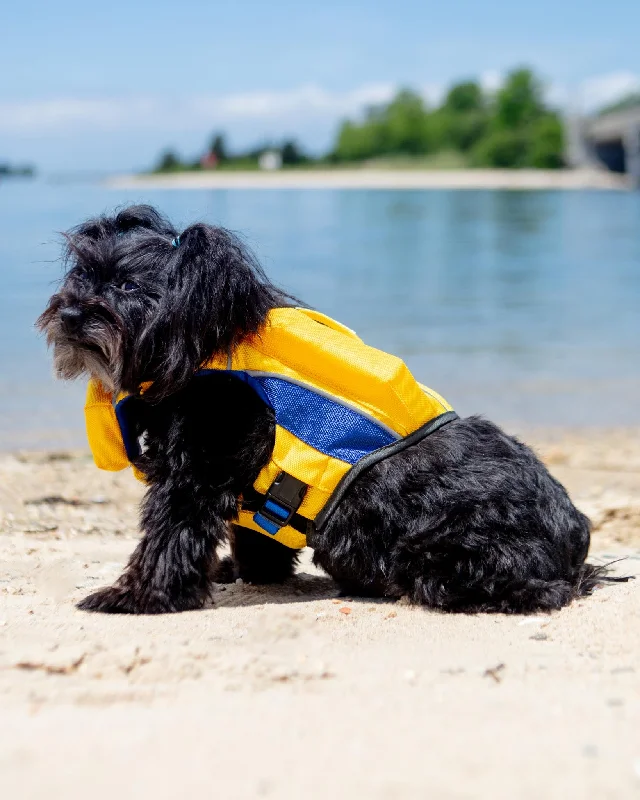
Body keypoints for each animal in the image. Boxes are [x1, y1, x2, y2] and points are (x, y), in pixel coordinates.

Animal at [37, 205, 616, 612]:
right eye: (81, 276)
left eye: (128, 285)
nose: (69, 314)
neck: (199, 347)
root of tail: (575, 541)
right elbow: (256, 537)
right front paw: (246, 572)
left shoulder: (195, 471)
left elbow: (166, 538)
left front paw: (133, 598)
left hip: (440, 553)